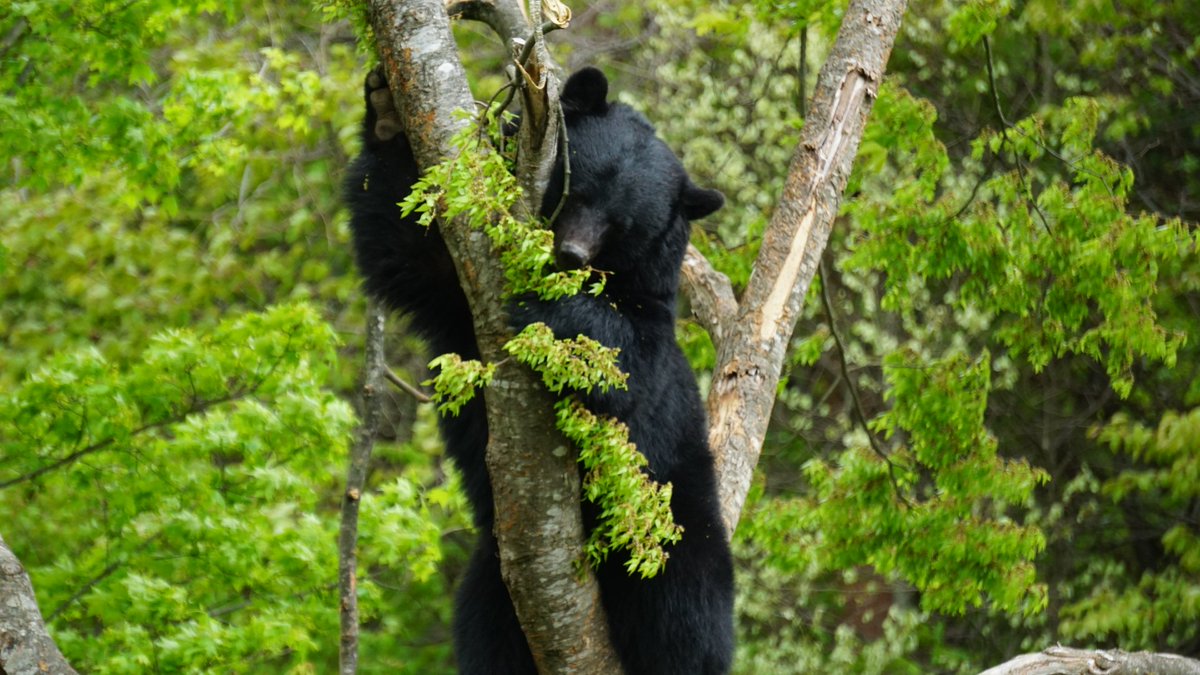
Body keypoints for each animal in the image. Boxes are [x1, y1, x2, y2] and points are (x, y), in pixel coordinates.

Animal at [345, 65, 734, 675]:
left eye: (620, 226)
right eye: (576, 189)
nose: (570, 254)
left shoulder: (650, 317)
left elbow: (626, 363)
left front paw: (548, 309)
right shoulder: (455, 297)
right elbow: (407, 244)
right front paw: (385, 109)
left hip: (668, 520)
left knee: (685, 617)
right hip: (494, 577)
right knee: (486, 629)